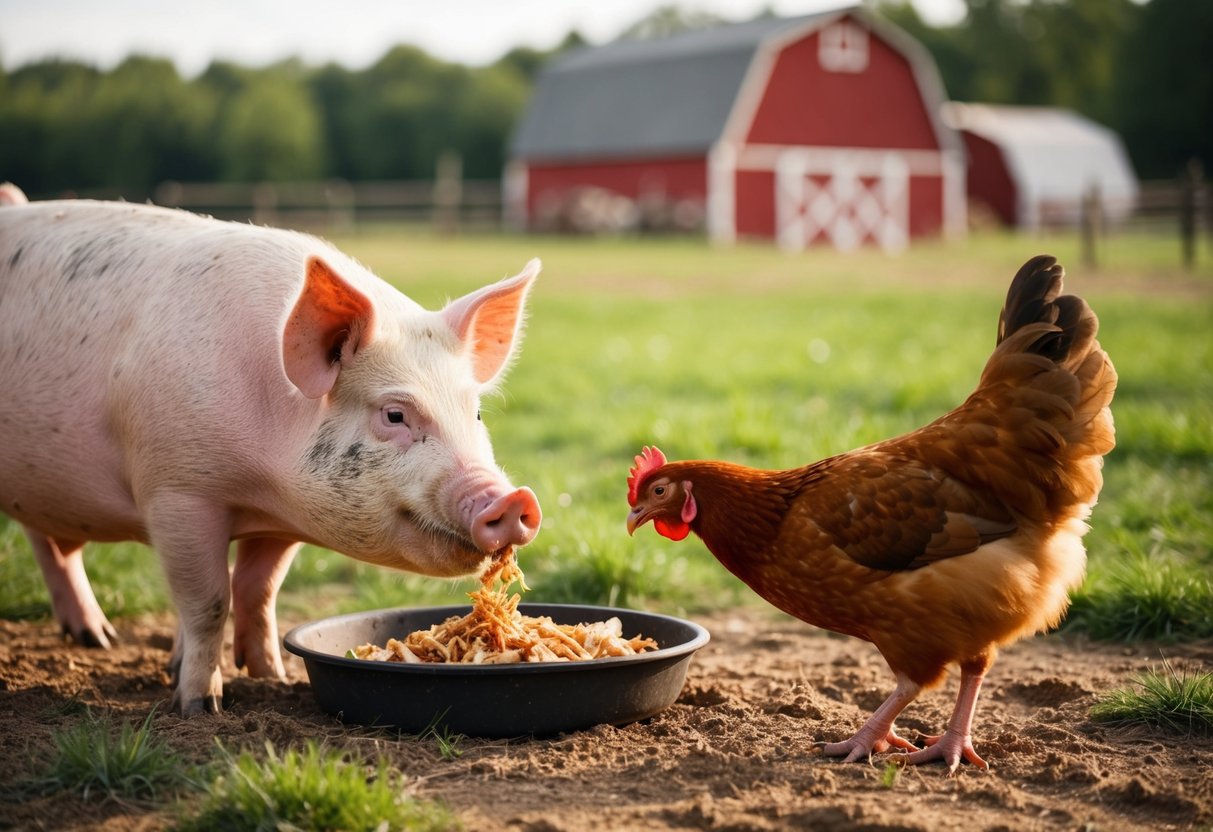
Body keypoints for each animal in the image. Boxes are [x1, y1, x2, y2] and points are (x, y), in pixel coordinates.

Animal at [0, 186, 542, 715]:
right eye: (394, 415)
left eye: (476, 413)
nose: (512, 499)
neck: (258, 490)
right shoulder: (176, 492)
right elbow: (208, 602)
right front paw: (200, 706)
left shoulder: (282, 523)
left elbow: (258, 589)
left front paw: (271, 676)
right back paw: (104, 641)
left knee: (46, 541)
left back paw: (96, 638)